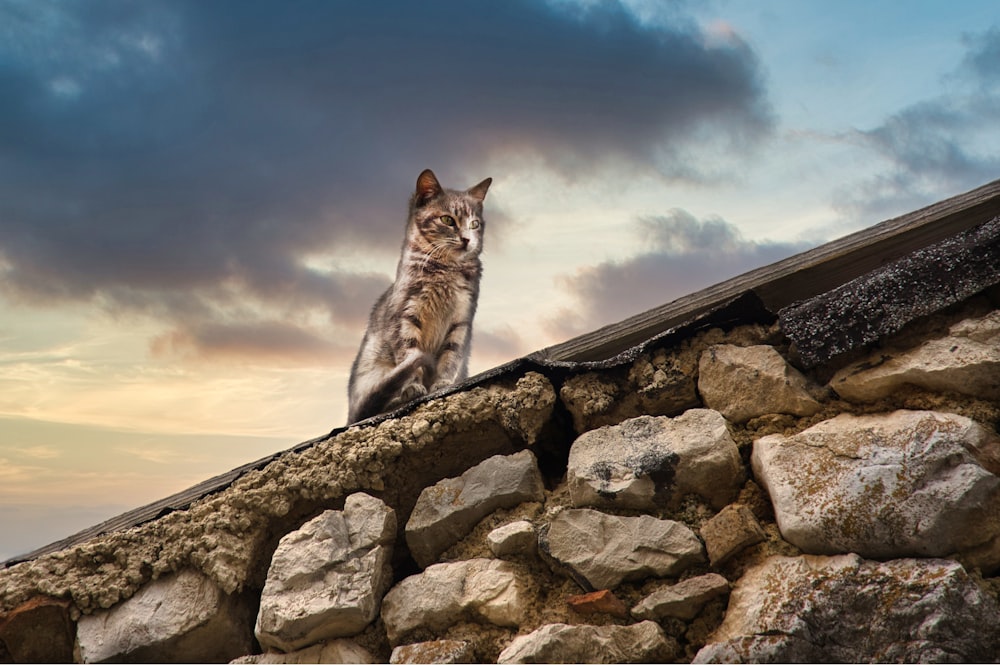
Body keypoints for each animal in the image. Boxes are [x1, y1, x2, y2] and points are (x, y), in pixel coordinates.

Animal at [348, 169, 492, 422]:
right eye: (448, 220)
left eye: (475, 224)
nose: (467, 239)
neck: (446, 270)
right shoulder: (405, 316)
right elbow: (410, 354)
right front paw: (413, 387)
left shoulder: (461, 320)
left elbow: (451, 356)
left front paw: (443, 383)